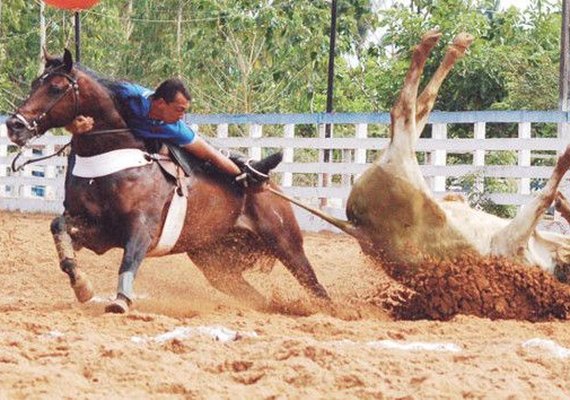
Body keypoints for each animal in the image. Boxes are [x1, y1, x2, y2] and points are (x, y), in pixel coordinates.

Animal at [6, 49, 328, 312]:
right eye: (34, 84)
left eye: (55, 87)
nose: (14, 125)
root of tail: (269, 185)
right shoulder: (98, 229)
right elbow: (59, 229)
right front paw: (82, 286)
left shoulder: (141, 227)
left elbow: (130, 259)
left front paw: (121, 299)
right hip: (215, 262)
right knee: (255, 298)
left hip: (286, 243)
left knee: (316, 287)